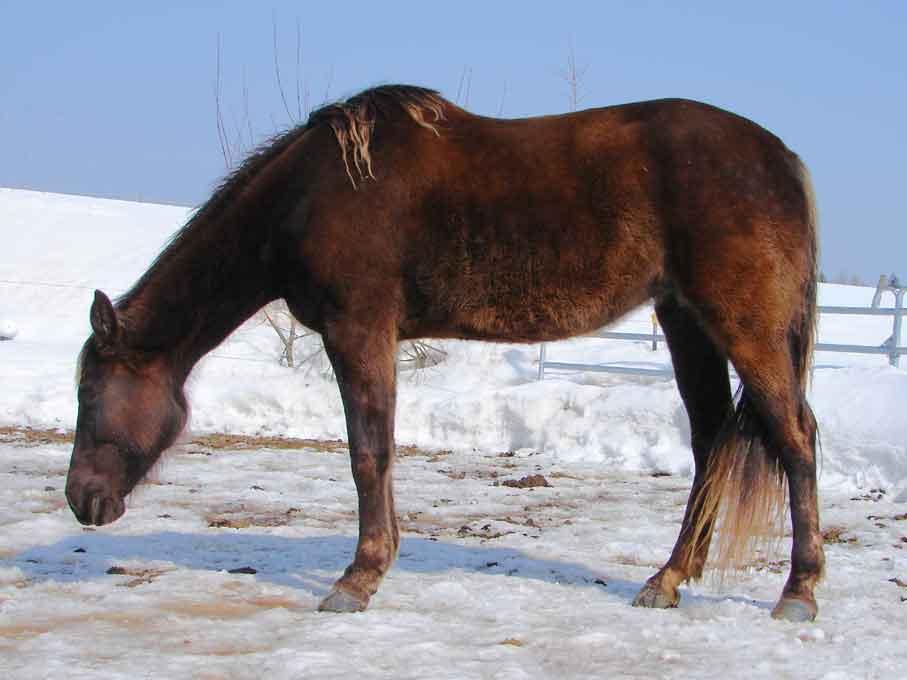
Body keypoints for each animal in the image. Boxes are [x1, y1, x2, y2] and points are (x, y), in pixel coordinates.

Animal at [66, 85, 822, 621]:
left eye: (89, 392)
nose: (81, 500)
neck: (312, 192)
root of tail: (781, 158)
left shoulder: (358, 330)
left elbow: (369, 454)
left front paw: (358, 578)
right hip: (685, 320)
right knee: (711, 442)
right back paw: (667, 580)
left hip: (743, 326)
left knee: (794, 437)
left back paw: (799, 592)